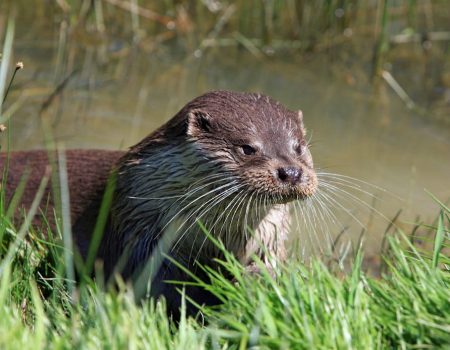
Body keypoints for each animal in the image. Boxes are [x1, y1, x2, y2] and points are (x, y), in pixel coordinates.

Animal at [0, 90, 316, 314]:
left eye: (298, 147)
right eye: (248, 148)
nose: (291, 172)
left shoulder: (268, 236)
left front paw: (255, 281)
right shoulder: (140, 231)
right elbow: (158, 285)